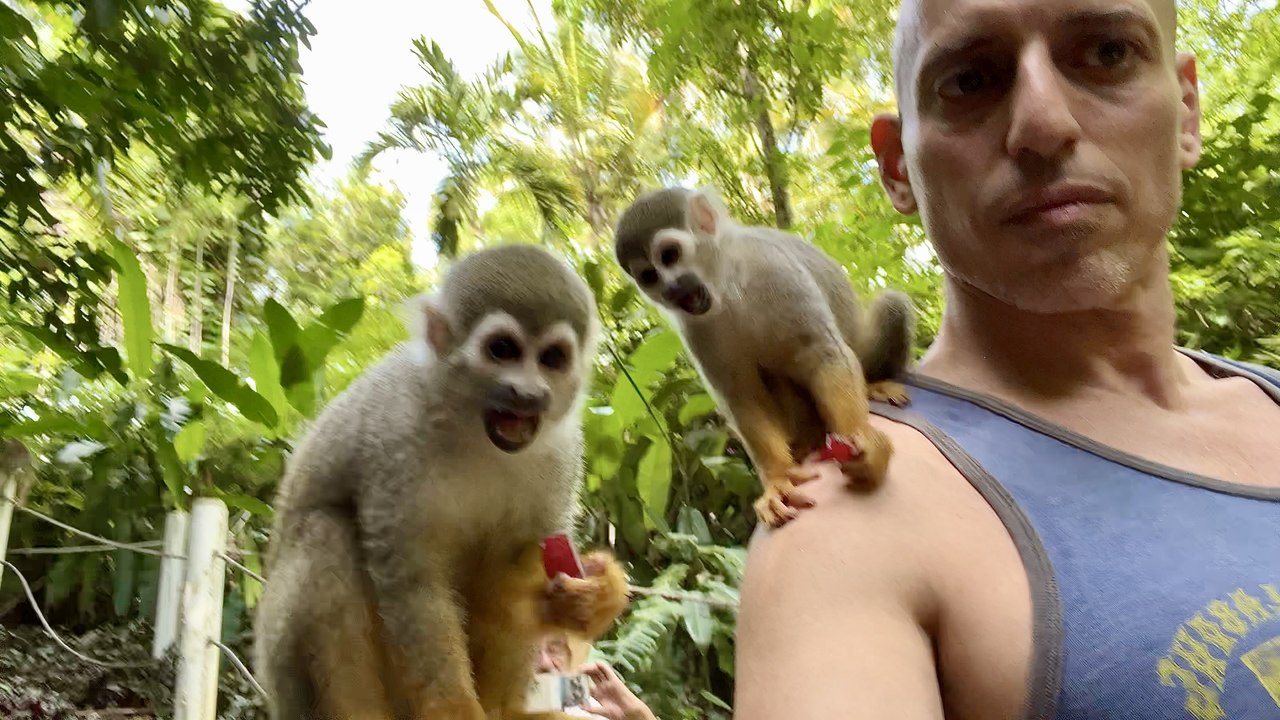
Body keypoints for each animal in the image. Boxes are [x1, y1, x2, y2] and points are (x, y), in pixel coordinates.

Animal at [253, 244, 631, 720]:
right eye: (503, 349)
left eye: (552, 358)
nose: (529, 394)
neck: (473, 431)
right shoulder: (395, 438)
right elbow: (413, 585)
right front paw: (455, 709)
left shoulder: (563, 449)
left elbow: (514, 568)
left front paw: (589, 599)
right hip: (284, 670)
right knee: (325, 532)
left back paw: (506, 708)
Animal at [612, 186, 915, 528]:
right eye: (649, 276)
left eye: (669, 256)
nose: (670, 290)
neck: (728, 287)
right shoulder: (694, 327)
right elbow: (742, 396)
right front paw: (777, 479)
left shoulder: (773, 269)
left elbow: (823, 354)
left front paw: (861, 443)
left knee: (892, 305)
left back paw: (874, 384)